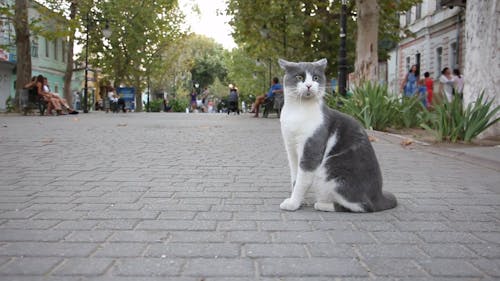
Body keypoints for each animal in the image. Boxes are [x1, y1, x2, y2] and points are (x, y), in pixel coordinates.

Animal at [280, 59, 396, 212]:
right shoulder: (291, 149)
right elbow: (295, 177)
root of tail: (378, 196)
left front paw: (293, 203)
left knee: (362, 206)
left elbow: (302, 180)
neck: (298, 109)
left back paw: (322, 205)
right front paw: (299, 201)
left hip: (332, 172)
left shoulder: (311, 149)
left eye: (315, 78)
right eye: (299, 77)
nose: (309, 85)